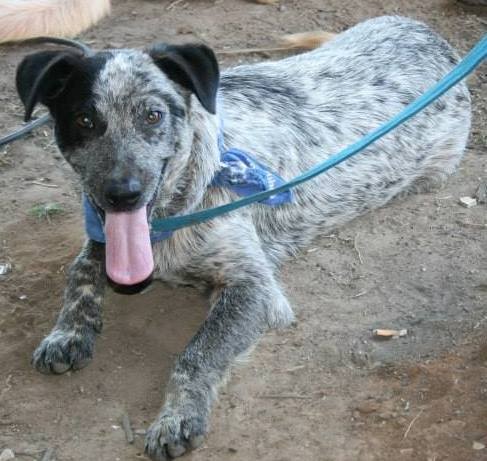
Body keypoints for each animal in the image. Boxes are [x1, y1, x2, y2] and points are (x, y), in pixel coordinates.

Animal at [15, 16, 471, 460]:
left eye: (152, 115)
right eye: (85, 120)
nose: (122, 194)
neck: (171, 216)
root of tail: (425, 30)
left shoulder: (255, 288)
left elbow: (197, 351)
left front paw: (177, 416)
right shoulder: (102, 238)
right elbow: (80, 271)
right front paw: (67, 333)